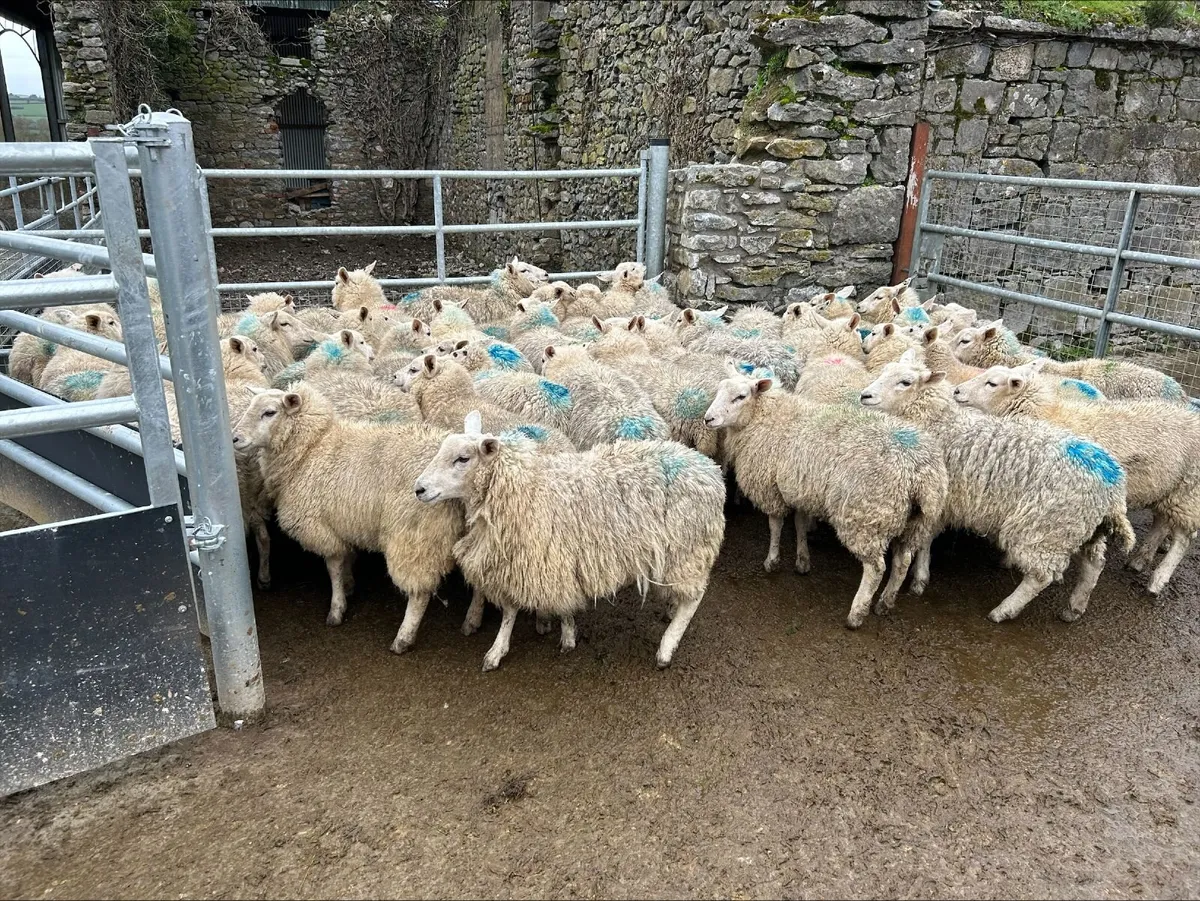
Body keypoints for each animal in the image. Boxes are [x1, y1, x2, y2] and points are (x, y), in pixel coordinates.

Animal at [232, 385, 465, 652]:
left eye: (269, 412)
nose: (234, 438)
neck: (311, 449)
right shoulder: (344, 521)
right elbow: (348, 558)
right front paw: (349, 584)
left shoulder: (321, 526)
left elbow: (333, 567)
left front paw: (337, 608)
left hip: (414, 536)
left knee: (419, 593)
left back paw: (403, 638)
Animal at [413, 410, 726, 670]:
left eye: (462, 459)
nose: (419, 489)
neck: (523, 487)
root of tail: (711, 471)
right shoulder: (531, 560)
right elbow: (531, 607)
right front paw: (543, 633)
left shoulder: (538, 559)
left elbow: (527, 609)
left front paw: (515, 646)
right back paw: (670, 609)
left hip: (688, 549)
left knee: (694, 599)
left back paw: (666, 648)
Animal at [704, 367, 948, 628]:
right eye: (719, 390)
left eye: (740, 397)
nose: (708, 419)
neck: (766, 417)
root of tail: (919, 471)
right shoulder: (801, 489)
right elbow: (800, 524)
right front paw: (802, 561)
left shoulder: (770, 488)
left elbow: (775, 525)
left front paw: (772, 560)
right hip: (915, 521)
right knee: (903, 561)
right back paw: (885, 602)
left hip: (866, 516)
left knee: (876, 568)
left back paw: (857, 613)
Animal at [858, 352, 1135, 623]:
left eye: (905, 382)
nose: (864, 395)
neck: (940, 421)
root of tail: (1113, 486)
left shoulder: (937, 502)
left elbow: (925, 541)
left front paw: (919, 577)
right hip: (1080, 529)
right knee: (1094, 564)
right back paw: (1074, 608)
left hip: (1044, 528)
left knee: (1040, 576)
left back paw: (1004, 611)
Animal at [955, 361, 1200, 595]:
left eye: (992, 383)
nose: (956, 390)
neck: (1047, 413)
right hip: (1170, 488)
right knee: (1161, 522)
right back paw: (1140, 560)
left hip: (1189, 490)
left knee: (1183, 538)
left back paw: (1158, 580)